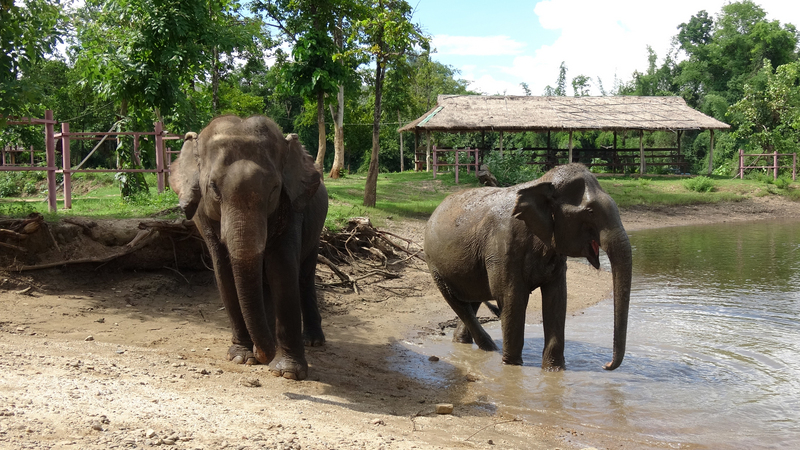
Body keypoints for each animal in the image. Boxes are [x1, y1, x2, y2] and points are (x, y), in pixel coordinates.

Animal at [169, 115, 328, 380]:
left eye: (274, 188)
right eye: (213, 187)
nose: (262, 356)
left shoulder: (291, 209)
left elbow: (282, 271)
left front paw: (287, 372)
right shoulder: (204, 218)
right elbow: (224, 274)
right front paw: (243, 357)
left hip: (316, 228)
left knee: (305, 276)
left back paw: (313, 341)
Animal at [424, 163, 631, 371]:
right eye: (590, 211)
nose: (606, 365)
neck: (541, 183)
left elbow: (556, 299)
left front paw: (554, 371)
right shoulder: (503, 249)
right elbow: (511, 298)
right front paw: (512, 367)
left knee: (473, 299)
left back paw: (466, 343)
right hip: (434, 264)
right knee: (457, 301)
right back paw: (490, 348)